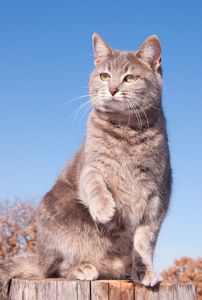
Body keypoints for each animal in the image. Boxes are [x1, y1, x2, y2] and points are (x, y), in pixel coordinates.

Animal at [0, 34, 172, 298]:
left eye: (130, 78)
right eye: (104, 76)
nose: (112, 89)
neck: (126, 130)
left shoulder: (157, 194)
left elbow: (145, 241)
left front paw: (144, 271)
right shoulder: (90, 165)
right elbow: (94, 182)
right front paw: (104, 209)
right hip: (54, 224)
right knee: (55, 268)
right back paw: (82, 267)